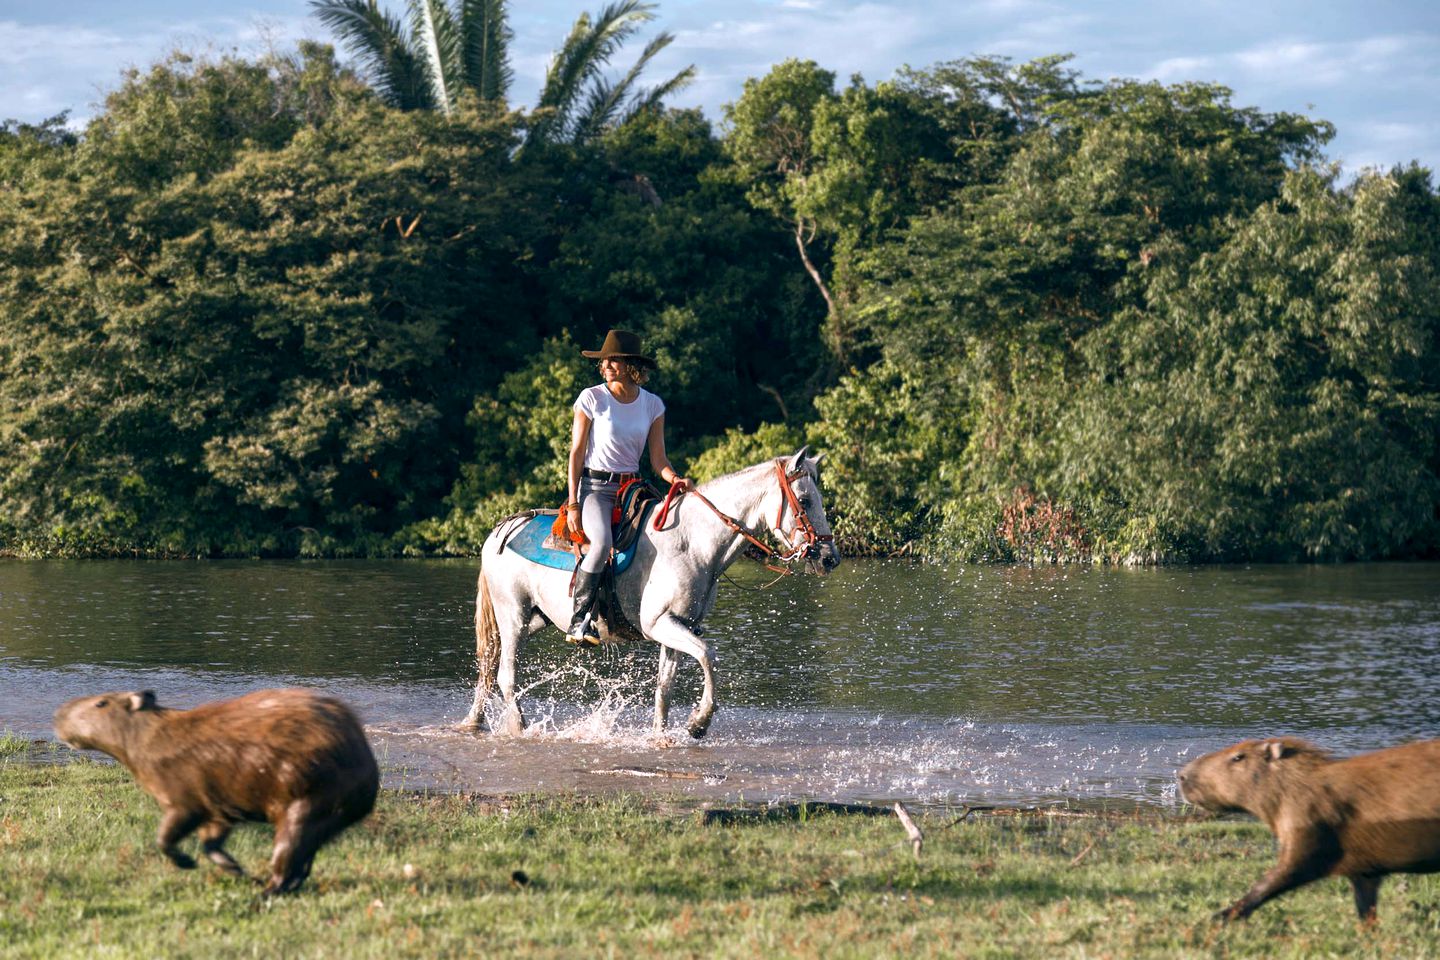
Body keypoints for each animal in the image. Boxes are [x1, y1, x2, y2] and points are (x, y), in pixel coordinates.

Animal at [460, 446, 840, 742]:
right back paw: (519, 727)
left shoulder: (679, 626)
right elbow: (708, 656)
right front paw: (699, 723)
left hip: (535, 620)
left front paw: (661, 736)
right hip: (514, 616)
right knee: (506, 675)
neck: (692, 543)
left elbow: (665, 686)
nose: (829, 557)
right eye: (805, 500)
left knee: (489, 666)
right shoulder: (660, 624)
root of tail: (499, 530)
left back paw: (473, 722)